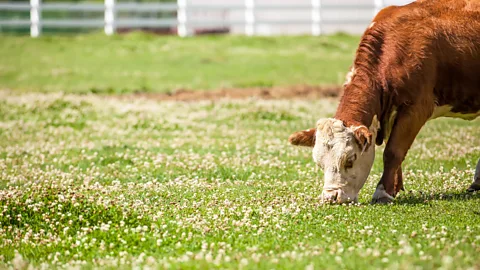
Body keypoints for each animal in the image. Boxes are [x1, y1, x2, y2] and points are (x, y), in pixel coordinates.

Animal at [288, 0, 480, 202]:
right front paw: (394, 187)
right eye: (320, 163)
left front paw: (382, 191)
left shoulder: (417, 108)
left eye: (350, 160)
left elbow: (393, 151)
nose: (331, 197)